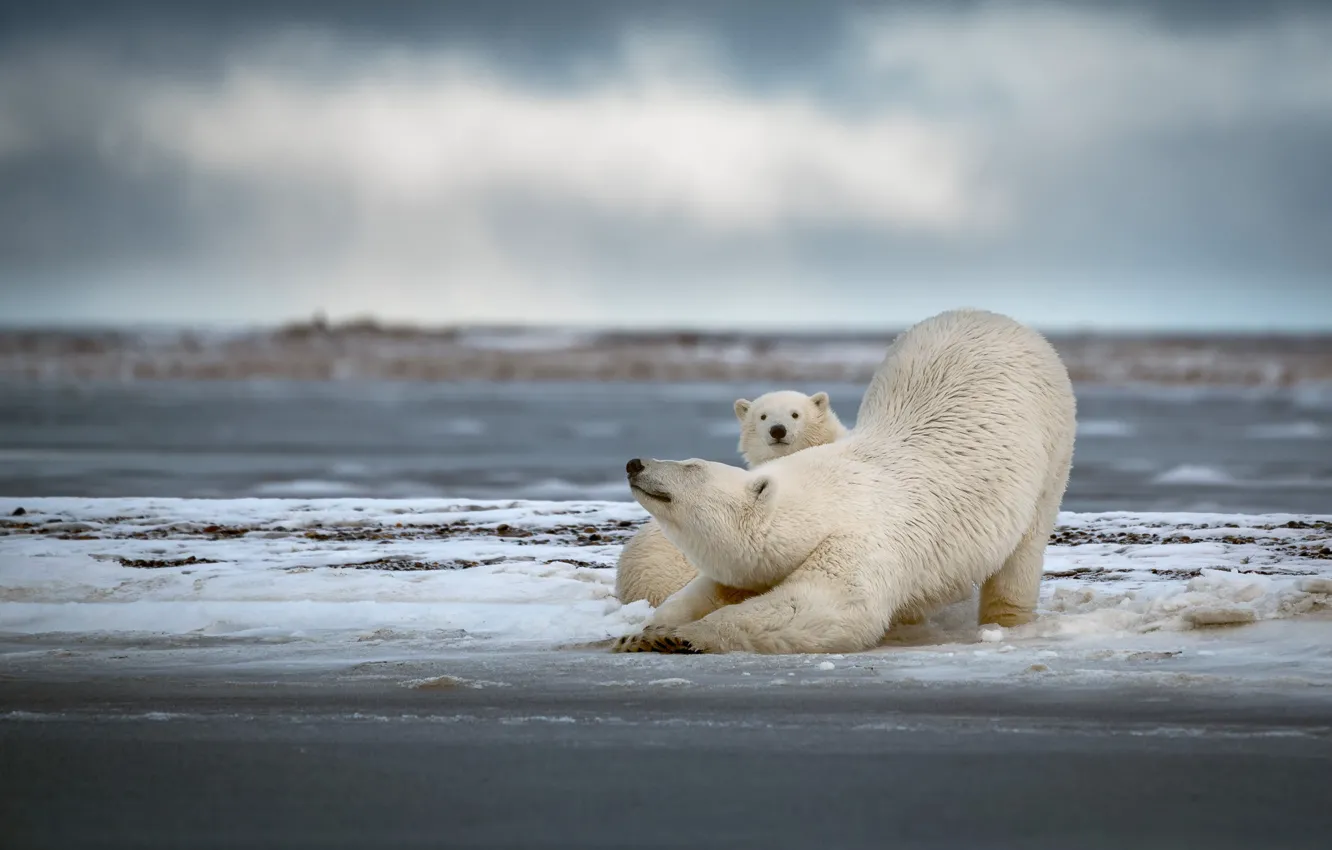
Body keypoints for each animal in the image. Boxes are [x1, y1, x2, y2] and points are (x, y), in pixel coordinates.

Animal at [612, 309, 1070, 655]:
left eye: (691, 466)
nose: (634, 463)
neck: (820, 498)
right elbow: (717, 587)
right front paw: (642, 631)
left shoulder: (867, 536)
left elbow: (823, 607)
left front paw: (680, 636)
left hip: (1051, 448)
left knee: (1024, 548)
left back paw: (1003, 621)